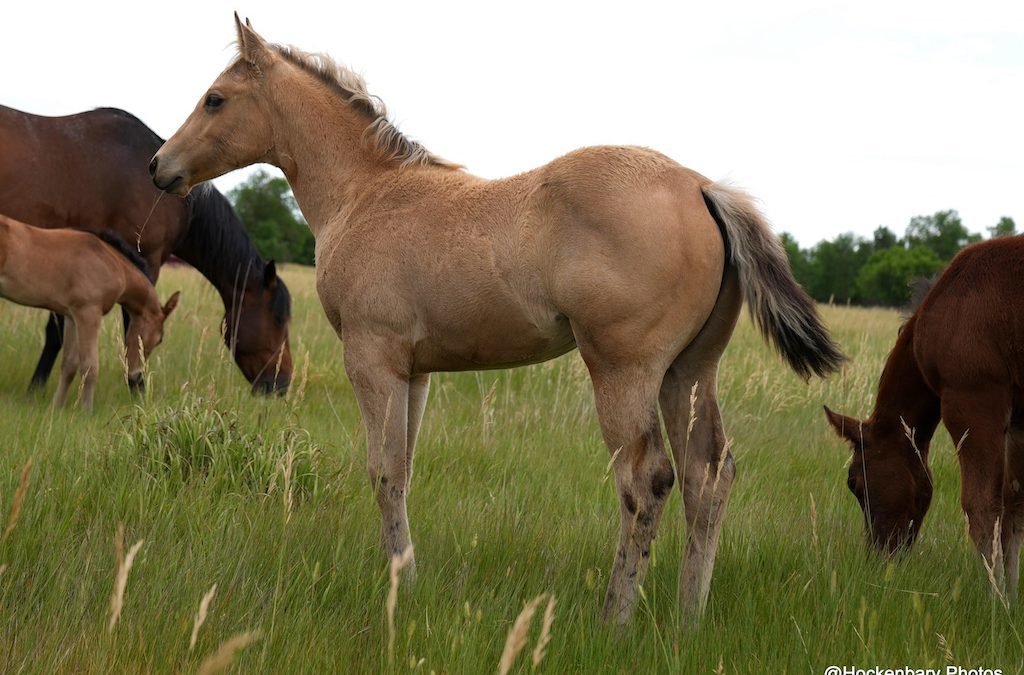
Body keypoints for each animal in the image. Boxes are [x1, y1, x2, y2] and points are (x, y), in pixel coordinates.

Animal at [0, 214, 179, 409]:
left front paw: (56, 408)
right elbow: (90, 367)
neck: (112, 262)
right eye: (160, 340)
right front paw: (86, 411)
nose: (135, 375)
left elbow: (69, 365)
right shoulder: (89, 313)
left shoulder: (72, 316)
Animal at [148, 17, 843, 626]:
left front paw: (398, 588)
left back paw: (614, 620)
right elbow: (403, 472)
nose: (159, 167)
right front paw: (406, 580)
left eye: (214, 99)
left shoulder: (371, 360)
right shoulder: (415, 371)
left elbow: (381, 471)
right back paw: (687, 619)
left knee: (647, 481)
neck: (365, 195)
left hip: (623, 371)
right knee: (708, 477)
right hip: (689, 372)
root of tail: (701, 186)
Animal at [823, 237, 1024, 602]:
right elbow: (1015, 508)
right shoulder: (1018, 422)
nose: (878, 556)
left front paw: (997, 601)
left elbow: (982, 507)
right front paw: (1013, 599)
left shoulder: (974, 402)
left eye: (853, 482)